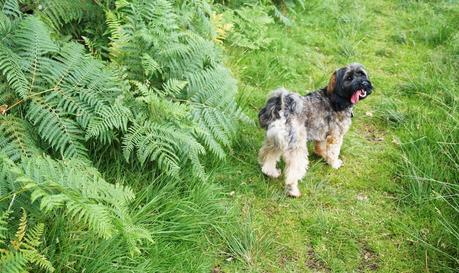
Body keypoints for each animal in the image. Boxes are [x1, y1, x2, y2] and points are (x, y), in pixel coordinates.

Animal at [258, 63, 374, 197]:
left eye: (361, 74)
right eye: (349, 78)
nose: (363, 83)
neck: (335, 97)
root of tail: (283, 110)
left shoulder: (322, 134)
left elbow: (320, 148)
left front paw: (322, 155)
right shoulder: (335, 136)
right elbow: (333, 152)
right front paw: (334, 163)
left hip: (275, 142)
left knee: (268, 158)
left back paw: (271, 172)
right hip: (296, 148)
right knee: (293, 171)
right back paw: (293, 190)